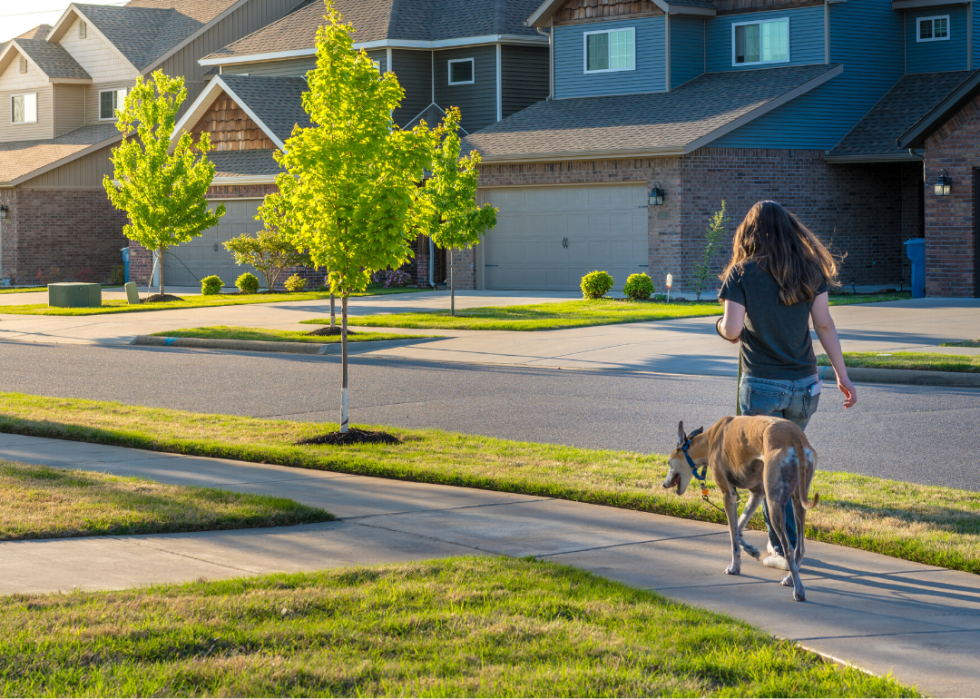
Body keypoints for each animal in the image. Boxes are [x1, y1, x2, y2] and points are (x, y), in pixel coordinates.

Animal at [668, 416, 820, 600]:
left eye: (669, 462)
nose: (664, 484)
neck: (710, 440)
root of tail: (795, 435)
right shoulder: (758, 492)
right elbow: (739, 527)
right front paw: (751, 550)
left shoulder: (728, 495)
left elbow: (732, 536)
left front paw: (734, 567)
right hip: (798, 500)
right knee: (800, 548)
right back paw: (790, 579)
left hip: (774, 504)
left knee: (789, 549)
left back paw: (798, 590)